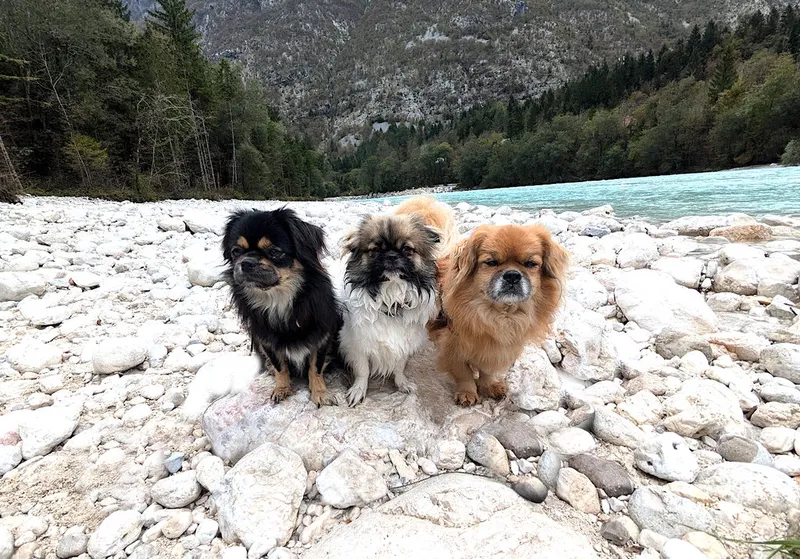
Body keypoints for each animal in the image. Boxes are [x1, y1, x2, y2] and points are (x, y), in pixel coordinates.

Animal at [221, 208, 342, 406]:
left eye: (275, 252)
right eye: (236, 251)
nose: (246, 262)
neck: (278, 300)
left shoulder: (322, 336)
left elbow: (315, 367)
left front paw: (320, 393)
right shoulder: (267, 340)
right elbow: (280, 366)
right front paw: (281, 389)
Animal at [339, 197, 457, 405]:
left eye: (407, 249)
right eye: (375, 250)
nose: (392, 256)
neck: (391, 295)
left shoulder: (405, 343)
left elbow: (399, 367)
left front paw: (402, 384)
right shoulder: (357, 343)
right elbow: (363, 370)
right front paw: (358, 390)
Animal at [429, 224, 569, 406]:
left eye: (531, 264)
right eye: (491, 263)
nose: (512, 275)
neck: (501, 314)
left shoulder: (494, 349)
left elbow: (486, 371)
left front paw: (489, 386)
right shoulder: (452, 347)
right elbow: (463, 373)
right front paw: (467, 393)